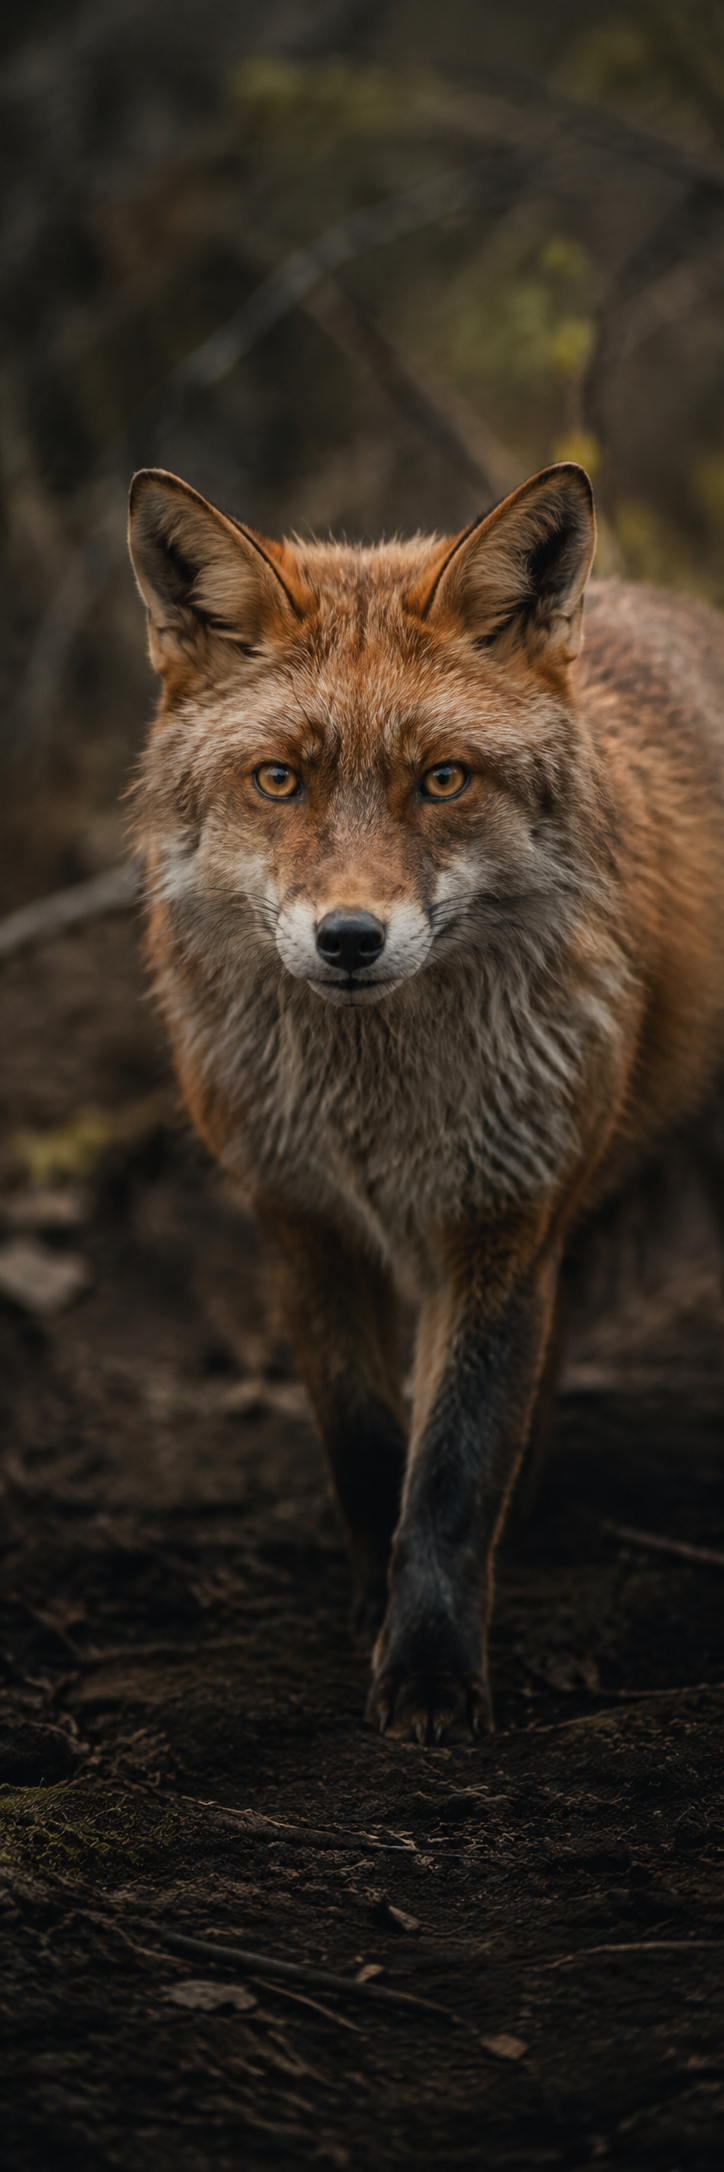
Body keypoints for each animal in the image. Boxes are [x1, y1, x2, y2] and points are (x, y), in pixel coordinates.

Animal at [127, 459, 724, 1747]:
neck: (378, 1108)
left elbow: (450, 1470)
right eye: (280, 779)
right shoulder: (300, 1222)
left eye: (441, 780)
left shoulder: (501, 1223)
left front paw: (434, 1673)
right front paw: (372, 1612)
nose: (350, 939)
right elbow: (366, 1446)